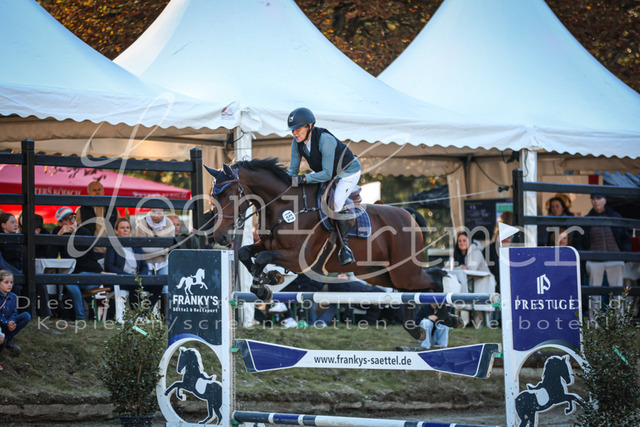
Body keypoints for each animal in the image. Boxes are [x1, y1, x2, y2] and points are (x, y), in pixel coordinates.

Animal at [205, 158, 461, 340]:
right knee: (410, 291)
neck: (286, 207)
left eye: (230, 195)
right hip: (382, 274)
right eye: (212, 196)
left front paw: (267, 283)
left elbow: (262, 259)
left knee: (434, 278)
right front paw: (268, 281)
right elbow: (245, 253)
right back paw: (417, 328)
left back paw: (448, 318)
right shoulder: (266, 245)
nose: (220, 236)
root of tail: (407, 213)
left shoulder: (298, 259)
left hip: (403, 271)